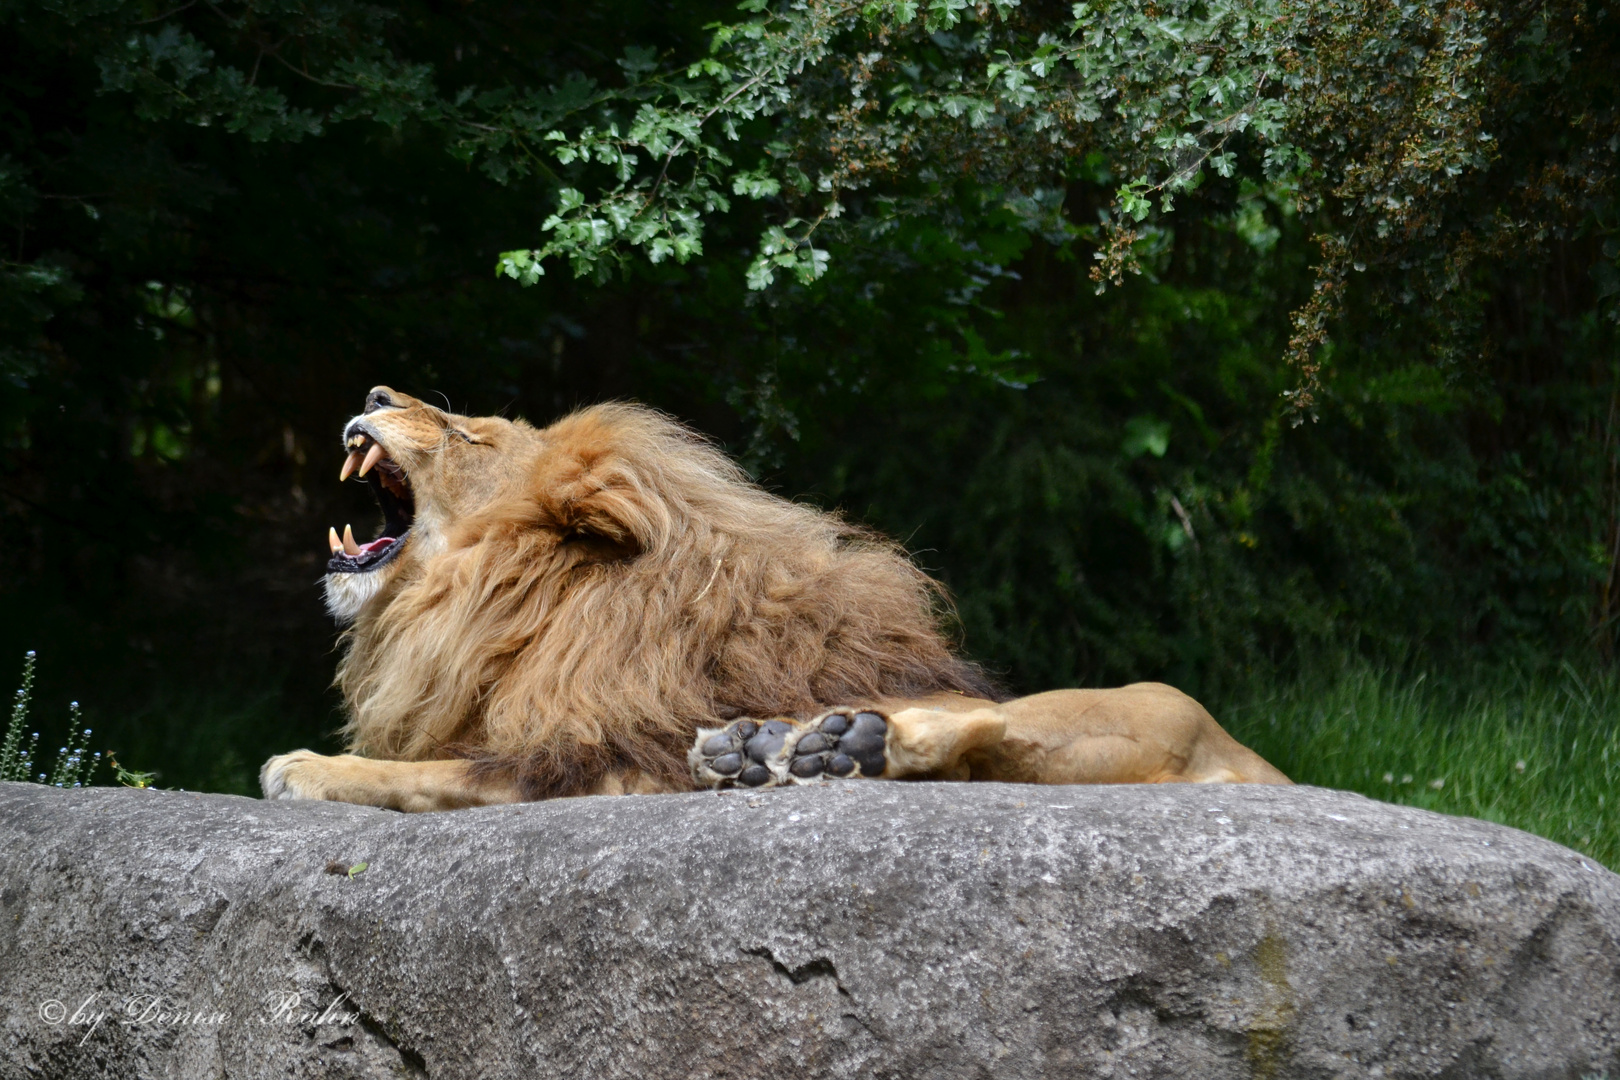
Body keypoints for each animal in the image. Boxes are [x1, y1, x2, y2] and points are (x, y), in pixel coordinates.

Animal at [262, 388, 1289, 809]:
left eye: (469, 434)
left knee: (991, 732)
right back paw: (779, 750)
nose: (374, 391)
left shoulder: (602, 760)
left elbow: (438, 775)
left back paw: (823, 746)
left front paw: (307, 766)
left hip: (1160, 704)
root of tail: (1255, 768)